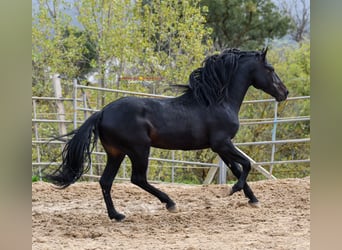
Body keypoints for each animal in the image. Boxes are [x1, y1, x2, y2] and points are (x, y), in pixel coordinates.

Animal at [47, 48, 288, 221]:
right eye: (270, 68)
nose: (284, 93)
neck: (217, 101)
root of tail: (103, 112)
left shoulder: (221, 147)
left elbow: (238, 168)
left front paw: (253, 199)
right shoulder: (222, 143)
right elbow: (245, 165)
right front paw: (234, 190)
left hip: (116, 153)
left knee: (106, 182)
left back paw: (116, 215)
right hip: (139, 150)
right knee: (137, 178)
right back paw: (170, 203)